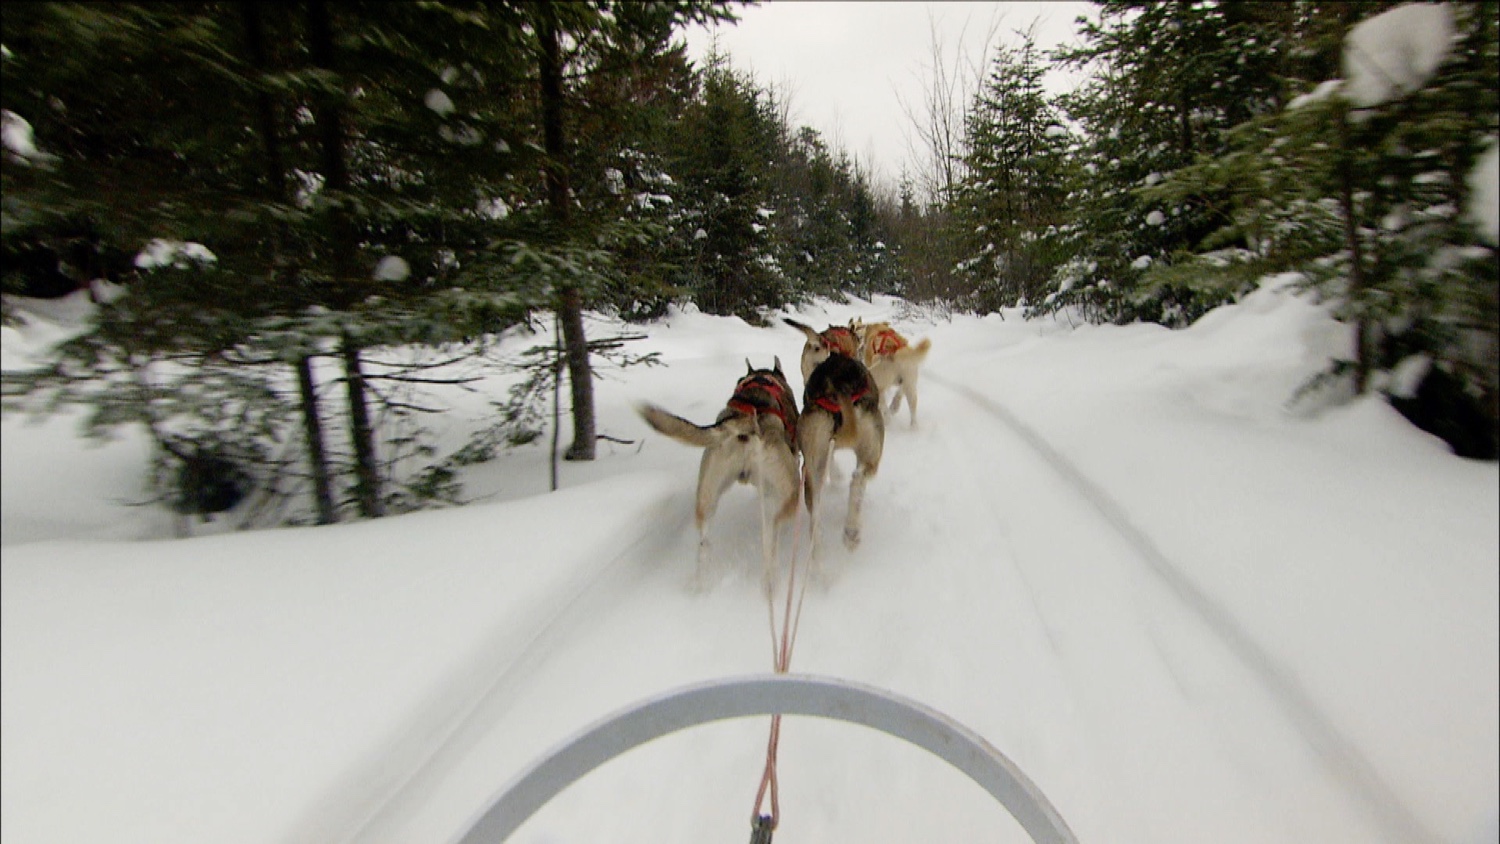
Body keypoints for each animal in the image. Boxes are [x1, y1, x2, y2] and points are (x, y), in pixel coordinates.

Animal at [639, 356, 804, 587]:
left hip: (707, 497)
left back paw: (701, 583)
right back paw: (771, 578)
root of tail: (743, 422)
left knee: (704, 543)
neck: (761, 378)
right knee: (773, 529)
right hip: (790, 490)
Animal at [798, 353, 876, 557]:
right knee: (858, 479)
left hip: (812, 467)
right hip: (871, 453)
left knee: (815, 517)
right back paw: (852, 532)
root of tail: (838, 379)